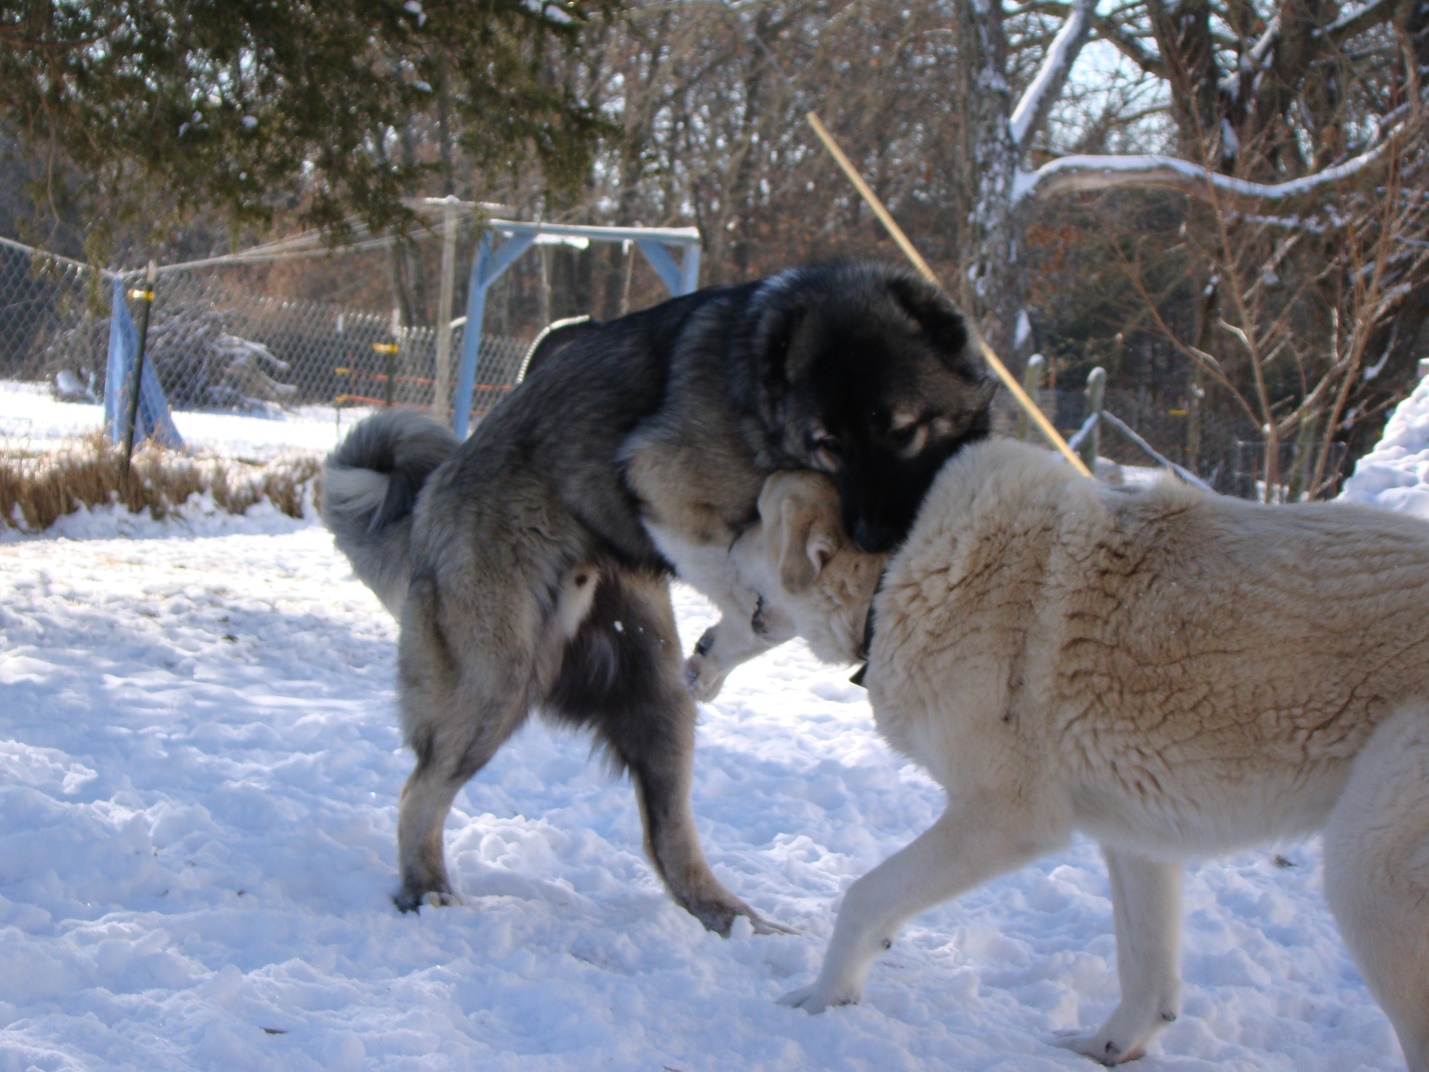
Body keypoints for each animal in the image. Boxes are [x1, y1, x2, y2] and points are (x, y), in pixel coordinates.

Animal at [322, 258, 994, 931]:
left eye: (902, 431)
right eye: (829, 444)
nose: (876, 535)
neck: (759, 390)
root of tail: (434, 491)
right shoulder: (663, 481)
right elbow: (755, 585)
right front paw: (752, 619)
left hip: (657, 699)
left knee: (667, 838)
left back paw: (736, 922)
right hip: (495, 681)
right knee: (419, 792)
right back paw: (427, 891)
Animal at [760, 440, 1429, 1069]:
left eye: (754, 519)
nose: (762, 478)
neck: (907, 568)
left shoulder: (1007, 818)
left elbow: (862, 898)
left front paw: (822, 1000)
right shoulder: (1138, 839)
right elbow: (1148, 978)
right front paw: (1105, 1049)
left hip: (1369, 883)